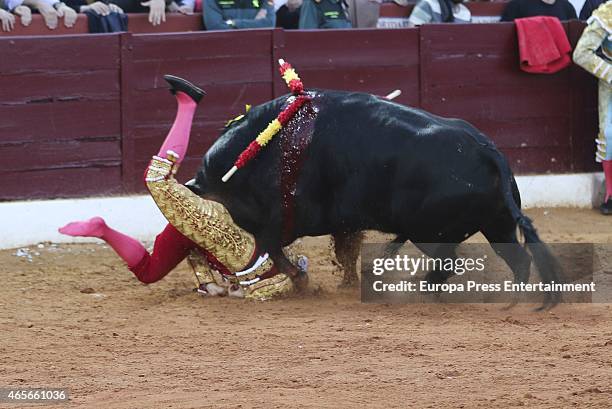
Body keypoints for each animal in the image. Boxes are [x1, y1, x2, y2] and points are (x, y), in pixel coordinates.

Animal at [189, 90, 560, 306]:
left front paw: (301, 280)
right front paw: (346, 283)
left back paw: (418, 289)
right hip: (496, 224)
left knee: (450, 262)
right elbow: (344, 250)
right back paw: (507, 298)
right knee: (517, 259)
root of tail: (487, 151)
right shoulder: (342, 222)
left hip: (430, 231)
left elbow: (272, 245)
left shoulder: (293, 219)